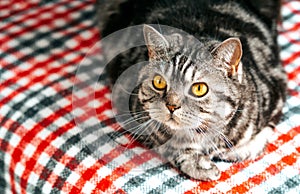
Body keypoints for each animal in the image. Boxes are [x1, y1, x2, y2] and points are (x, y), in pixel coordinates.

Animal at [96, 0, 286, 181]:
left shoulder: (276, 93)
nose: (172, 105)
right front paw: (198, 164)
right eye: (159, 82)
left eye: (199, 88)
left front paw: (237, 150)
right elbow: (168, 144)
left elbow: (260, 137)